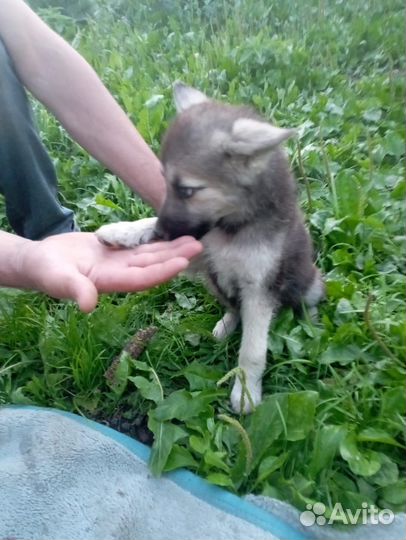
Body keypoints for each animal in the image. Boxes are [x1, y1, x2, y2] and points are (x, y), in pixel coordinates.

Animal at [95, 83, 324, 414]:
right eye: (165, 182)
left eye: (188, 190)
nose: (163, 232)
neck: (231, 226)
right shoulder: (202, 256)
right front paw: (123, 230)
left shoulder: (259, 289)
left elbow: (252, 350)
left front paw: (245, 392)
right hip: (214, 283)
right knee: (234, 307)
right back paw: (226, 325)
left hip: (310, 281)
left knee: (308, 299)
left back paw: (312, 321)